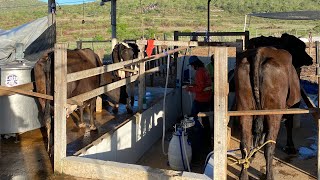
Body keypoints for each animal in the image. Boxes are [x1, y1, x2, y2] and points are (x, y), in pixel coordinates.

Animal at [235, 33, 312, 179]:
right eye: (301, 47)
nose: (310, 59)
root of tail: (261, 52)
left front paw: (255, 151)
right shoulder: (292, 108)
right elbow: (289, 125)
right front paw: (291, 147)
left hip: (244, 108)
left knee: (245, 143)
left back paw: (244, 173)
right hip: (274, 112)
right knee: (269, 147)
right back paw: (269, 175)